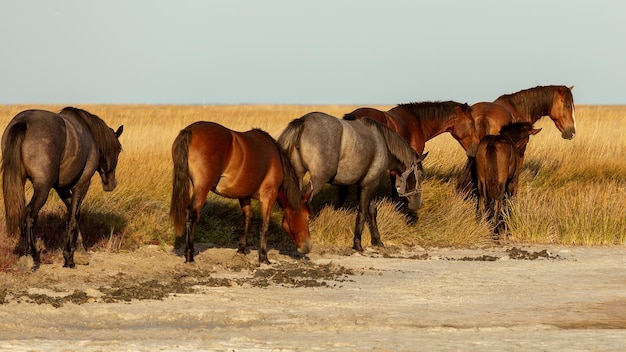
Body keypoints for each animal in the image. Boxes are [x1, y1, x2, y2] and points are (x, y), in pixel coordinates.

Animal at [1, 107, 123, 270]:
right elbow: (73, 217)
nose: (111, 184)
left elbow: (74, 213)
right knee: (30, 214)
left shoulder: (61, 189)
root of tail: (24, 122)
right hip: (42, 188)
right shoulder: (82, 184)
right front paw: (69, 258)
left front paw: (80, 251)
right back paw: (30, 255)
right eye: (119, 150)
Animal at [169, 121, 310, 264]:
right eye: (308, 217)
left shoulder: (244, 196)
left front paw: (241, 249)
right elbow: (264, 225)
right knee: (192, 214)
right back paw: (189, 255)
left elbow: (248, 218)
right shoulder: (269, 196)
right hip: (202, 187)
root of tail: (190, 130)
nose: (307, 247)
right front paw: (263, 257)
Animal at [276, 111, 426, 252]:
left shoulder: (365, 185)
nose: (417, 204)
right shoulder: (370, 184)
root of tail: (303, 122)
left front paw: (377, 240)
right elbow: (362, 212)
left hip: (298, 176)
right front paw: (358, 244)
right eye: (420, 175)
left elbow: (371, 210)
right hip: (317, 181)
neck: (382, 143)